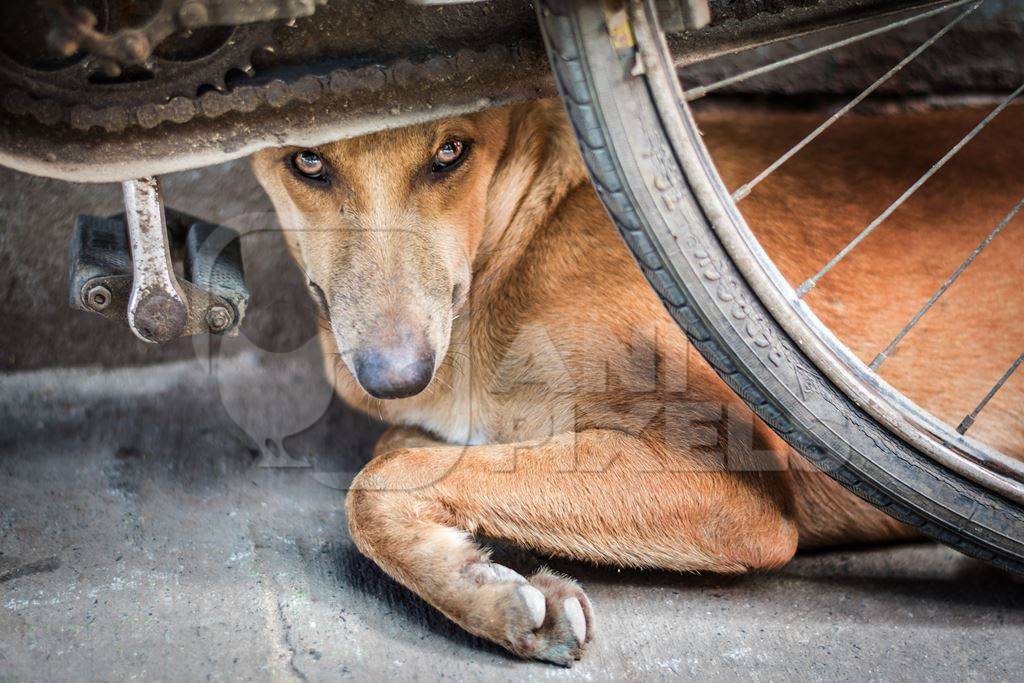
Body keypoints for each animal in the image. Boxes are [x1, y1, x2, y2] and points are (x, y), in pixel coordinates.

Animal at [249, 98, 1024, 663]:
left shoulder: (728, 478)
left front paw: (484, 591)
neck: (521, 230)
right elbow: (397, 459)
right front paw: (481, 585)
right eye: (308, 160)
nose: (395, 375)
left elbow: (376, 480)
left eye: (450, 153)